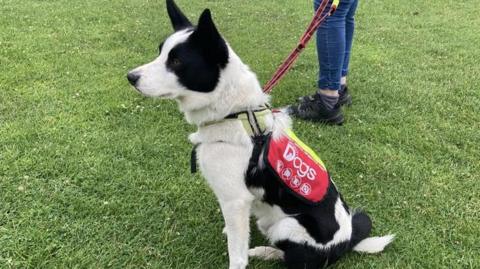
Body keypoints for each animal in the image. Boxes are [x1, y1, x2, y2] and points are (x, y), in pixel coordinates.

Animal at [127, 1, 394, 266]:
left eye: (176, 62)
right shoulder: (236, 203)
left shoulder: (235, 201)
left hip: (287, 226)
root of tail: (347, 243)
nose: (130, 77)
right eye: (160, 53)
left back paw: (265, 252)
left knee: (292, 257)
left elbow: (237, 254)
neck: (233, 113)